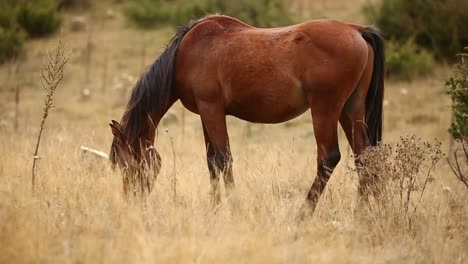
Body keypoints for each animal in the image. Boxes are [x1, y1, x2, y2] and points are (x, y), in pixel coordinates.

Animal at [109, 14, 384, 212]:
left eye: (125, 164)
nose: (132, 202)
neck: (185, 54)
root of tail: (356, 29)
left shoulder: (212, 109)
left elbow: (223, 159)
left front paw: (232, 205)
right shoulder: (205, 113)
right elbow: (212, 161)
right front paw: (215, 207)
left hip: (325, 110)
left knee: (328, 158)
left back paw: (302, 214)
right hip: (351, 109)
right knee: (363, 158)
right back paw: (360, 213)